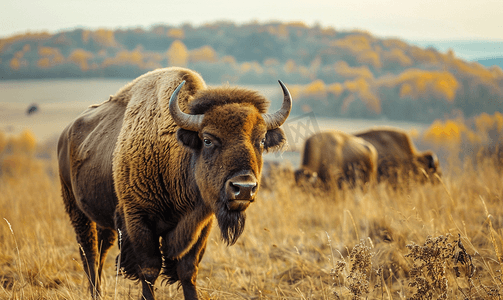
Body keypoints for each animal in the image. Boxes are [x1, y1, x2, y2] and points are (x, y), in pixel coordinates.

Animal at [57, 67, 292, 300]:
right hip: (76, 210)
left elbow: (188, 270)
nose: (244, 188)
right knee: (89, 252)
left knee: (102, 249)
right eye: (207, 139)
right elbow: (149, 269)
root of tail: (65, 135)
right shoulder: (138, 221)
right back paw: (95, 292)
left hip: (104, 219)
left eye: (261, 140)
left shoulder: (201, 224)